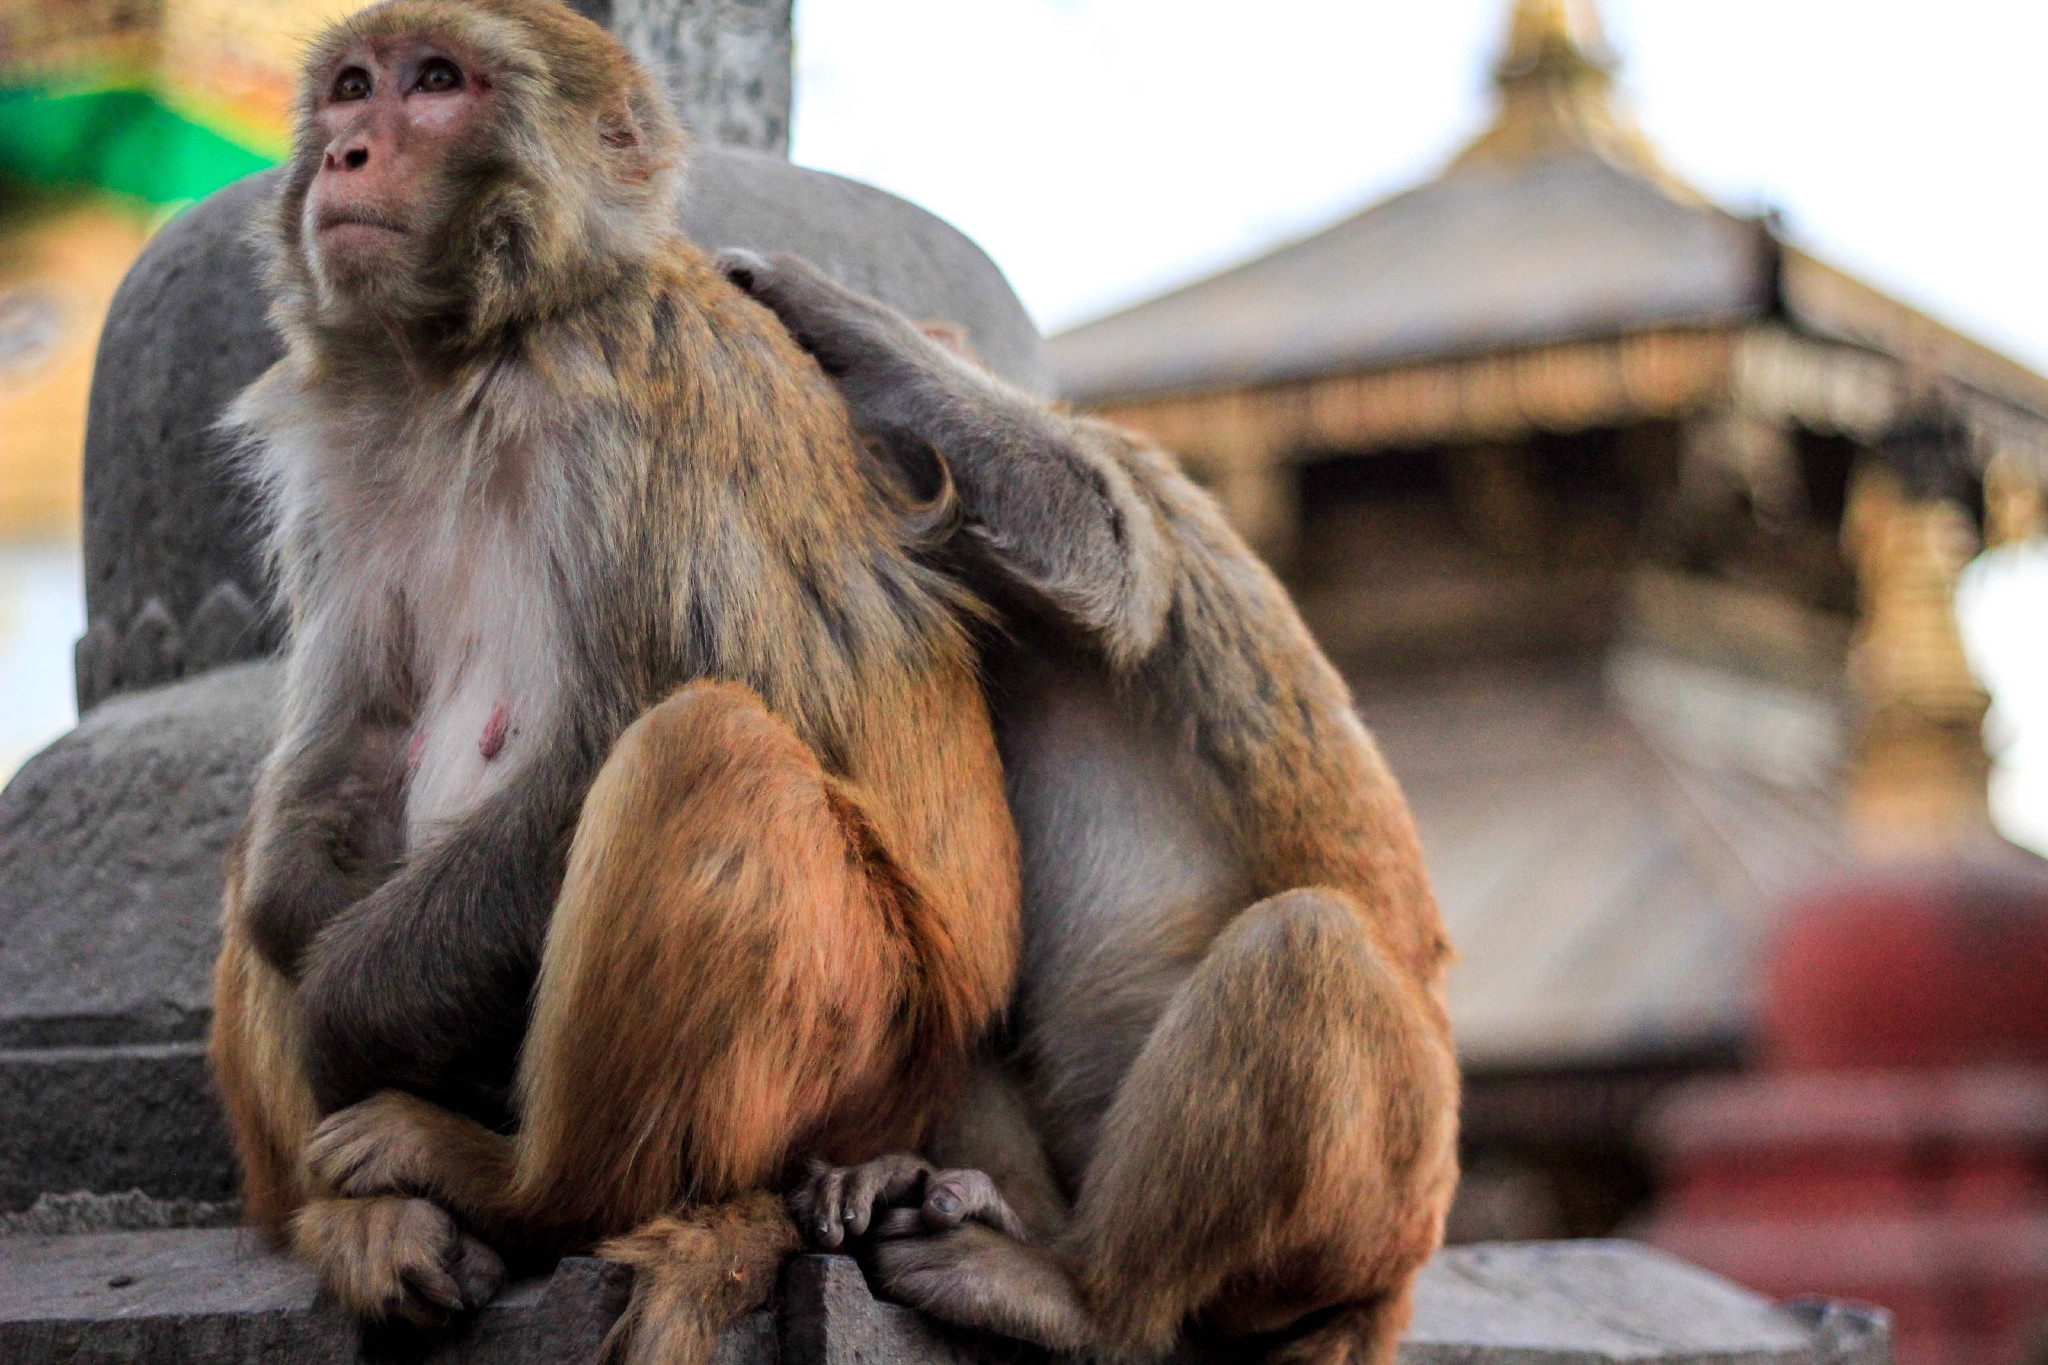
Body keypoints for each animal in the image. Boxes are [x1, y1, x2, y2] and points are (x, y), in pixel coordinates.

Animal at [199, 5, 1015, 1358]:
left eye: (438, 83)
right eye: (355, 87)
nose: (348, 154)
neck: (469, 361)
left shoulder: (630, 392)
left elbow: (618, 733)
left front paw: (342, 1014)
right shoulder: (343, 453)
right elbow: (342, 757)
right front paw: (314, 950)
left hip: (862, 1043)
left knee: (705, 747)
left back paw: (512, 1185)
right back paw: (360, 1222)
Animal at [716, 253, 1458, 1365]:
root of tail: (1403, 1273)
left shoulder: (1126, 475)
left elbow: (1105, 553)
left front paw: (840, 321)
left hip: (1376, 1194)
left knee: (1300, 949)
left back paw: (1084, 1298)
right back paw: (945, 1193)